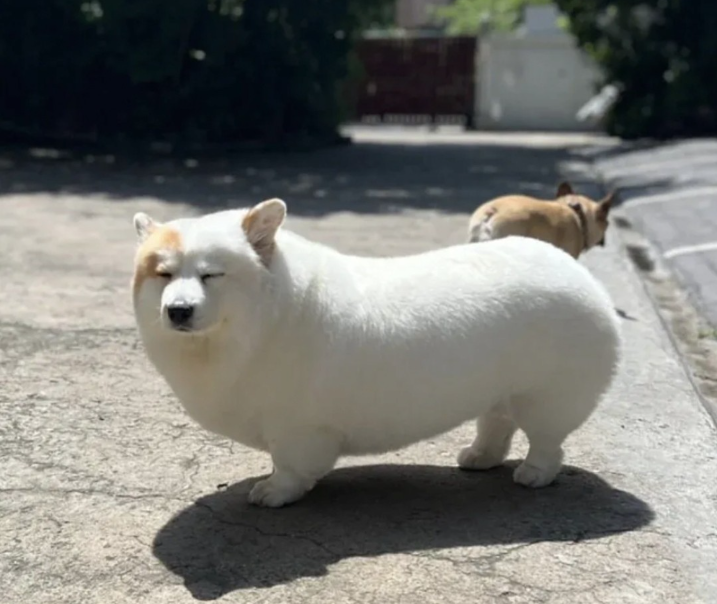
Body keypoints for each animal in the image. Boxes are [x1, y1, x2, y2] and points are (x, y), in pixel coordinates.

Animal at [131, 198, 621, 508]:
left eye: (211, 274)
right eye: (163, 273)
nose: (177, 310)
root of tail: (580, 276)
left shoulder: (295, 426)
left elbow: (289, 467)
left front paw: (274, 493)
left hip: (546, 397)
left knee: (547, 442)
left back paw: (534, 475)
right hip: (500, 390)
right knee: (497, 425)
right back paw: (479, 458)